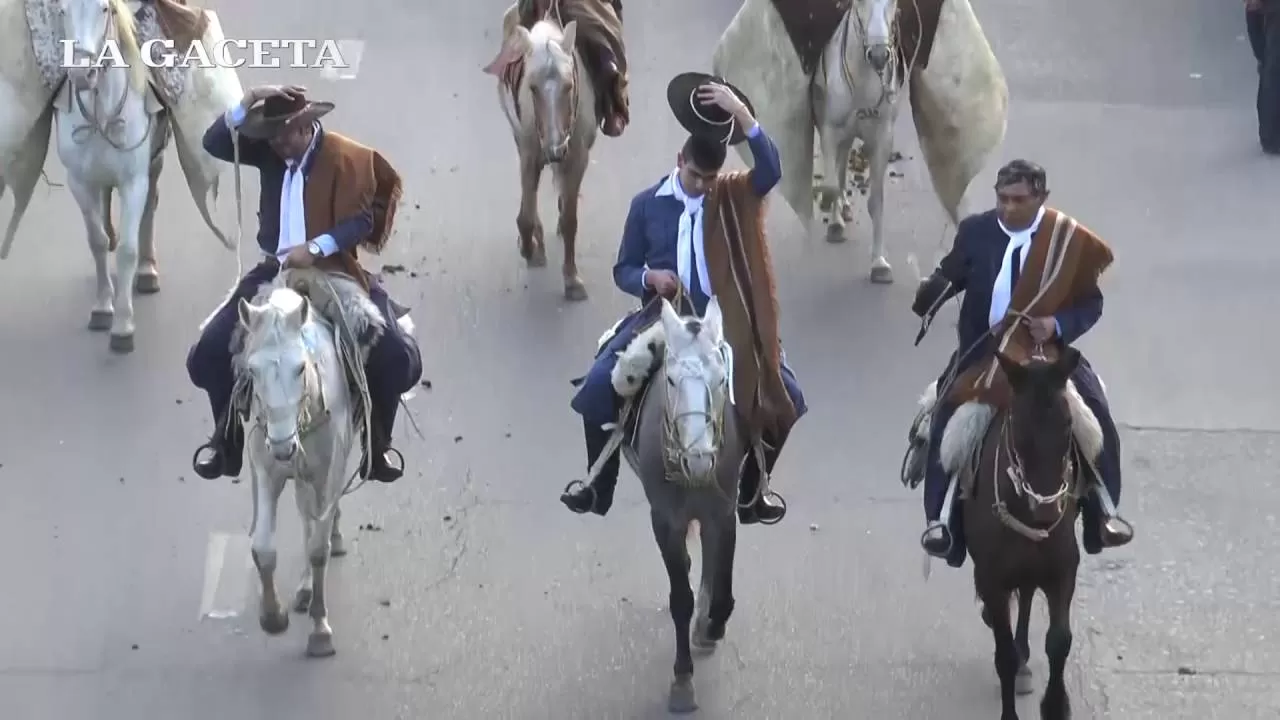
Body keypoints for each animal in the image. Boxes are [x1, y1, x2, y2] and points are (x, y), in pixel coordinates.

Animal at [56, 0, 167, 351]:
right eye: (62, 11)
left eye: (105, 9)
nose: (82, 73)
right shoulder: (79, 182)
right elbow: (97, 241)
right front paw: (103, 308)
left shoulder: (135, 181)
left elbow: (128, 250)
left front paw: (123, 326)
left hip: (154, 164)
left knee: (150, 209)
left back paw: (147, 271)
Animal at [238, 280, 358, 655]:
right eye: (252, 370)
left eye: (300, 368)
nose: (282, 447)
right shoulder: (266, 473)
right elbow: (263, 547)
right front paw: (272, 617)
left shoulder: (326, 474)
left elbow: (319, 548)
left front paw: (320, 630)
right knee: (306, 516)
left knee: (318, 521)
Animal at [614, 294, 747, 707]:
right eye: (670, 380)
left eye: (721, 379)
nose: (699, 459)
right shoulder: (664, 519)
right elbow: (679, 597)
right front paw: (683, 679)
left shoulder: (724, 512)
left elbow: (722, 585)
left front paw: (711, 625)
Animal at [814, 0, 906, 283]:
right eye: (859, 3)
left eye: (894, 3)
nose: (878, 55)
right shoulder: (830, 129)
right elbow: (831, 183)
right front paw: (832, 216)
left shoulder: (883, 137)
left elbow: (876, 201)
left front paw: (879, 263)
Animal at [962, 345, 1085, 712]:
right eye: (1017, 422)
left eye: (1068, 422)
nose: (1045, 511)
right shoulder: (992, 578)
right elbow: (1003, 654)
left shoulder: (1063, 569)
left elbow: (1059, 640)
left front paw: (1056, 705)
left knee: (1028, 592)